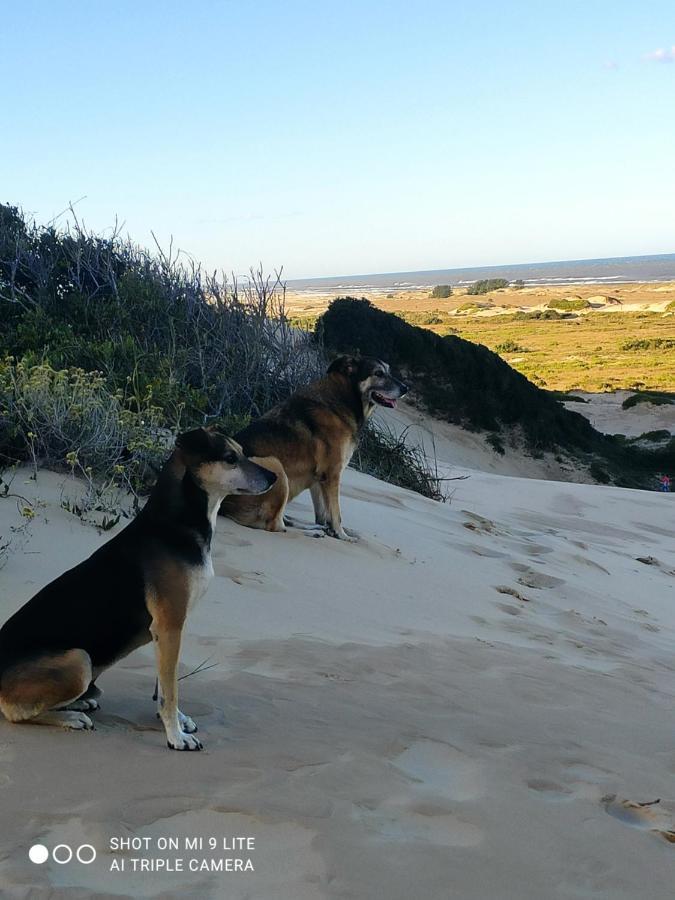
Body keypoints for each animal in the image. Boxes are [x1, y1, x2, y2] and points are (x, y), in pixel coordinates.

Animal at [0, 428, 278, 752]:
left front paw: (176, 721)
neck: (177, 523)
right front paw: (176, 737)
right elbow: (171, 691)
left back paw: (77, 705)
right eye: (230, 458)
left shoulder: (171, 629)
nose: (273, 477)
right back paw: (71, 717)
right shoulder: (169, 626)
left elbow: (164, 685)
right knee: (15, 711)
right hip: (79, 660)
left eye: (242, 452)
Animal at [220, 356, 406, 540]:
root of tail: (221, 507)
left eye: (388, 370)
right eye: (378, 373)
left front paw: (330, 529)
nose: (406, 388)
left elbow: (323, 512)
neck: (345, 398)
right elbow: (336, 513)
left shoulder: (319, 477)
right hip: (275, 466)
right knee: (275, 525)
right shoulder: (332, 474)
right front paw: (342, 535)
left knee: (283, 520)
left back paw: (312, 527)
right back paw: (311, 532)